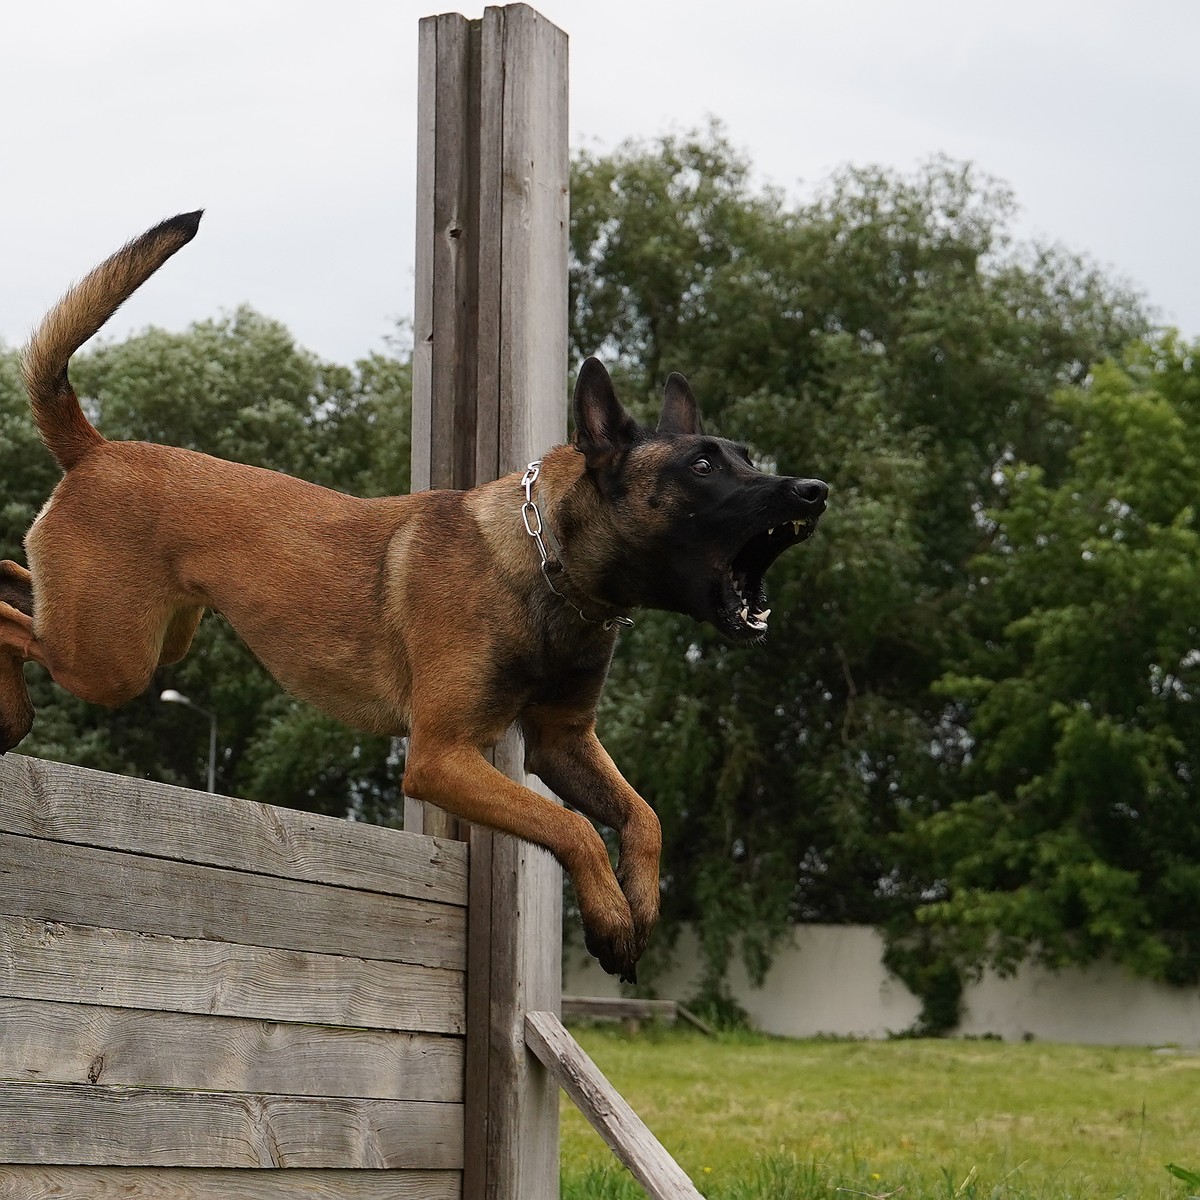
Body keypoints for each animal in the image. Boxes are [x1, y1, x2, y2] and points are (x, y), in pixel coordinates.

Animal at [0, 218, 825, 984]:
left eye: (746, 456)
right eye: (703, 465)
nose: (813, 490)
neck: (545, 565)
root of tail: (97, 450)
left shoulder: (562, 743)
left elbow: (642, 816)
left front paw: (640, 902)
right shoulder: (442, 758)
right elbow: (570, 828)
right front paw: (611, 917)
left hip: (147, 635)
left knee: (13, 579)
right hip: (110, 659)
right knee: (12, 621)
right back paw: (12, 713)